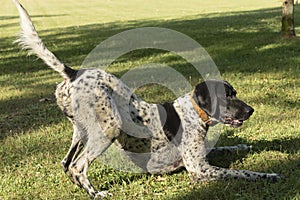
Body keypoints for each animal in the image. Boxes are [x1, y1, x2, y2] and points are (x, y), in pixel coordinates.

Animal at [12, 0, 282, 198]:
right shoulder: (199, 169)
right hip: (108, 129)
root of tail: (74, 72)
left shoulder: (201, 158)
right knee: (79, 167)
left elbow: (228, 148)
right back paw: (97, 194)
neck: (194, 113)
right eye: (227, 96)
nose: (251, 110)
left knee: (66, 164)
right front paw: (269, 175)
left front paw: (244, 146)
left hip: (81, 131)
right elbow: (244, 172)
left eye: (235, 93)